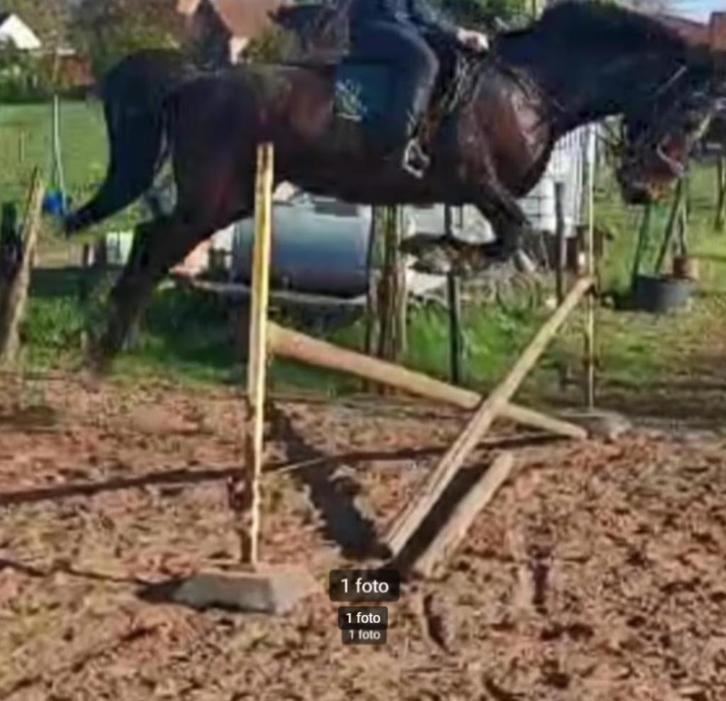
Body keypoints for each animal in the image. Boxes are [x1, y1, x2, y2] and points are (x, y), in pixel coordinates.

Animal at [64, 1, 724, 369]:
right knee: (155, 246)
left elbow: (512, 242)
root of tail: (194, 80)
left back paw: (106, 341)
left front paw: (432, 252)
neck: (532, 86)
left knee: (149, 240)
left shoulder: (477, 194)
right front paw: (432, 253)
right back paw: (102, 348)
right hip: (215, 198)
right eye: (691, 113)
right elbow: (513, 234)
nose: (647, 188)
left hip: (220, 199)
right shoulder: (476, 180)